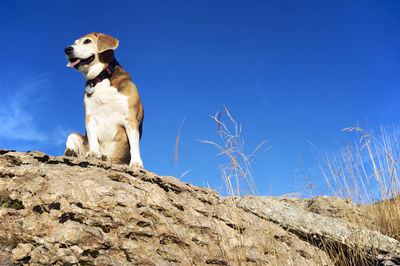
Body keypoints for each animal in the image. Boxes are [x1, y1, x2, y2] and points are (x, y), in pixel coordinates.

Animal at [63, 32, 143, 167]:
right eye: (74, 43)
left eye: (87, 41)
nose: (67, 49)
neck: (101, 78)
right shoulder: (90, 117)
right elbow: (93, 139)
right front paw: (94, 153)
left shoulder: (130, 119)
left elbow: (134, 145)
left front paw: (136, 162)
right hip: (73, 136)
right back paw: (73, 152)